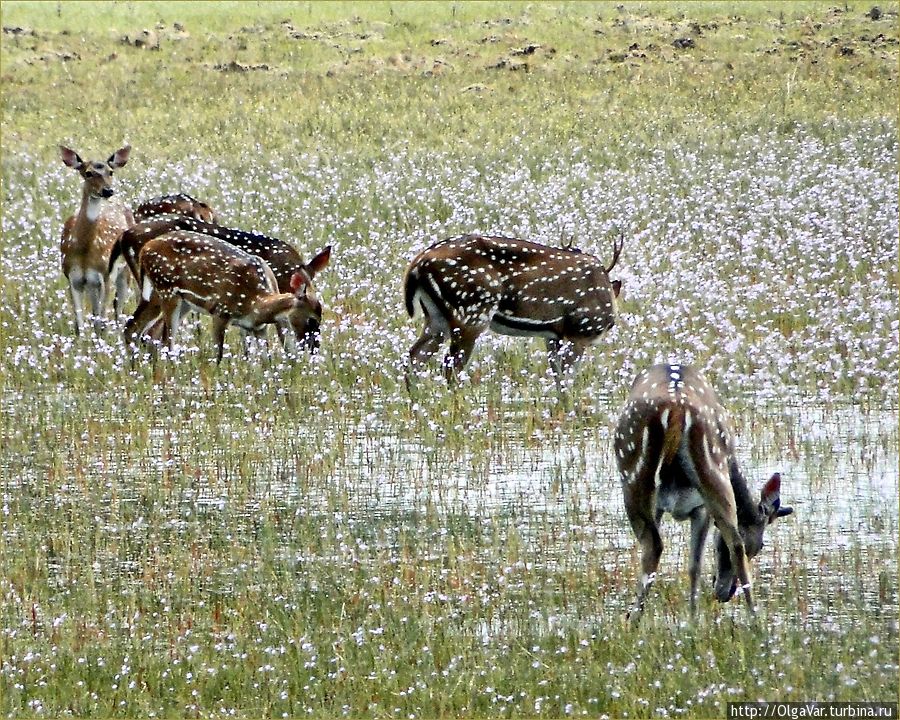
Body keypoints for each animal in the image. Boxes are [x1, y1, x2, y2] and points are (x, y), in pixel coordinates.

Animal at [59, 147, 133, 338]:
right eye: (88, 173)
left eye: (111, 172)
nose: (108, 191)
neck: (83, 251)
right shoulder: (72, 277)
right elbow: (80, 323)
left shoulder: (106, 274)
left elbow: (102, 320)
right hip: (92, 284)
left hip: (123, 273)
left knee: (117, 310)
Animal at [118, 217, 330, 352]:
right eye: (312, 321)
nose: (314, 348)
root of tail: (124, 236)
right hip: (160, 291)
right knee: (151, 333)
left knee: (136, 330)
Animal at [404, 235, 624, 382]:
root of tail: (417, 265)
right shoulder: (578, 332)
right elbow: (567, 380)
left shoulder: (554, 336)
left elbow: (558, 377)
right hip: (470, 314)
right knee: (450, 368)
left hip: (435, 318)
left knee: (413, 357)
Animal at [612, 366, 796, 620]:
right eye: (761, 546)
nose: (725, 592)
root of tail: (677, 406)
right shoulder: (698, 508)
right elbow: (695, 563)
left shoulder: (693, 507)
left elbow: (694, 565)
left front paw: (692, 616)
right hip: (709, 469)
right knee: (731, 541)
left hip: (636, 474)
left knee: (655, 544)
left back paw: (634, 619)